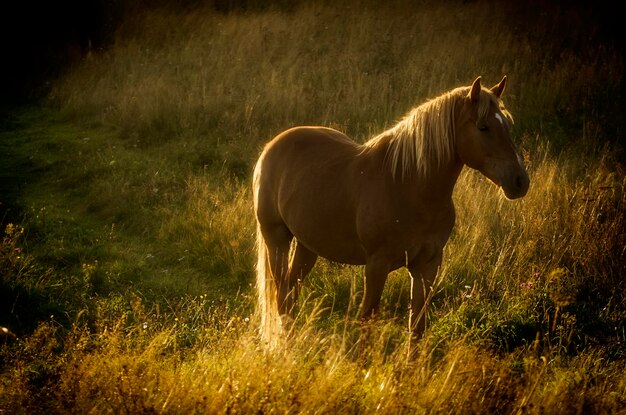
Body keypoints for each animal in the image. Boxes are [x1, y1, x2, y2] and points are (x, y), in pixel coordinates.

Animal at [249, 76, 528, 342]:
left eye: (507, 124)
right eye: (483, 127)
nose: (520, 181)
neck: (408, 186)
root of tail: (272, 147)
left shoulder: (427, 265)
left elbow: (417, 328)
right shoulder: (377, 265)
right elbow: (367, 319)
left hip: (308, 245)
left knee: (290, 293)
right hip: (276, 239)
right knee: (282, 296)